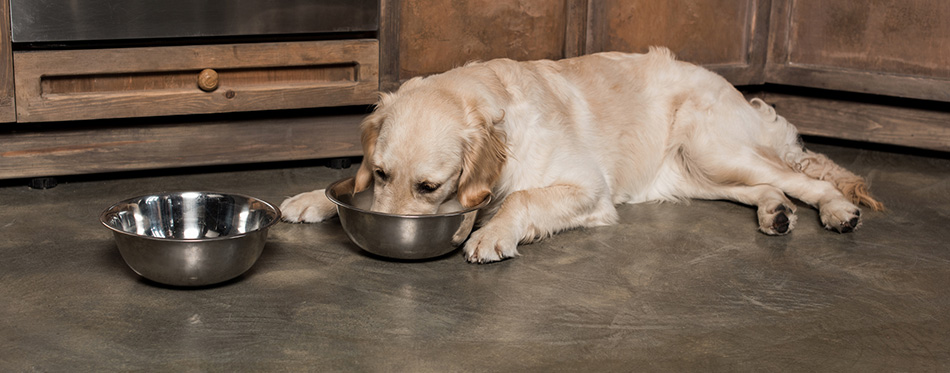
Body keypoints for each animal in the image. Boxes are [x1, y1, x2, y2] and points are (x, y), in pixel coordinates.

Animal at [280, 47, 884, 262]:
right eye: (381, 173)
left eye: (430, 187)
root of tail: (737, 88)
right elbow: (346, 186)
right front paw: (312, 198)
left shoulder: (588, 188)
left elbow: (520, 199)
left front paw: (492, 234)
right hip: (695, 175)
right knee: (768, 187)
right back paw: (774, 212)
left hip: (716, 148)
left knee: (804, 178)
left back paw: (837, 211)